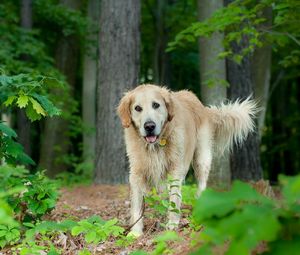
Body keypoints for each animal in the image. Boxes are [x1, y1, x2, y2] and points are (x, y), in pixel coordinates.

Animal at [117, 84, 255, 236]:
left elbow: (174, 198)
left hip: (202, 159)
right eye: (137, 108)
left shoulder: (176, 169)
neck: (155, 146)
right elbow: (136, 204)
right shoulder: (136, 172)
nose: (149, 126)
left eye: (156, 105)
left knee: (201, 186)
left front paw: (172, 224)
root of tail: (201, 105)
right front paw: (135, 232)